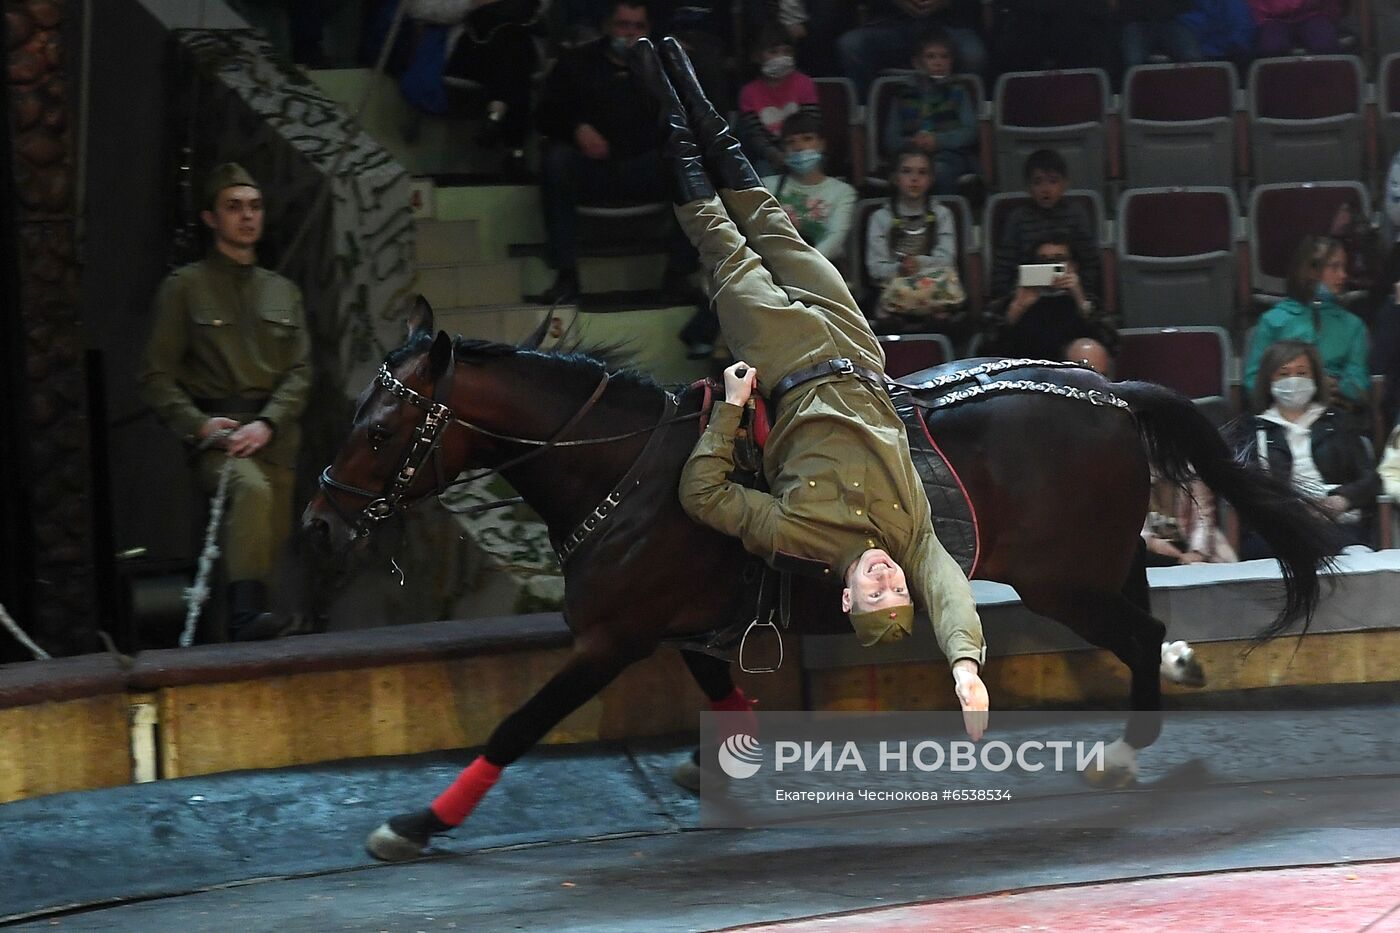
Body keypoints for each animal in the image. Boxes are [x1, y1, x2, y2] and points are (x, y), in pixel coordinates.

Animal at [303, 299, 1332, 857]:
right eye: (356, 415)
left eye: (383, 430)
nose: (320, 519)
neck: (626, 469)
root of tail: (1110, 389)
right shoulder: (679, 621)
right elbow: (717, 684)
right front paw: (727, 755)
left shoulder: (611, 637)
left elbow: (517, 724)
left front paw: (416, 820)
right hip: (1094, 562)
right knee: (1148, 619)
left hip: (1061, 579)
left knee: (1140, 634)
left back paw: (1127, 745)